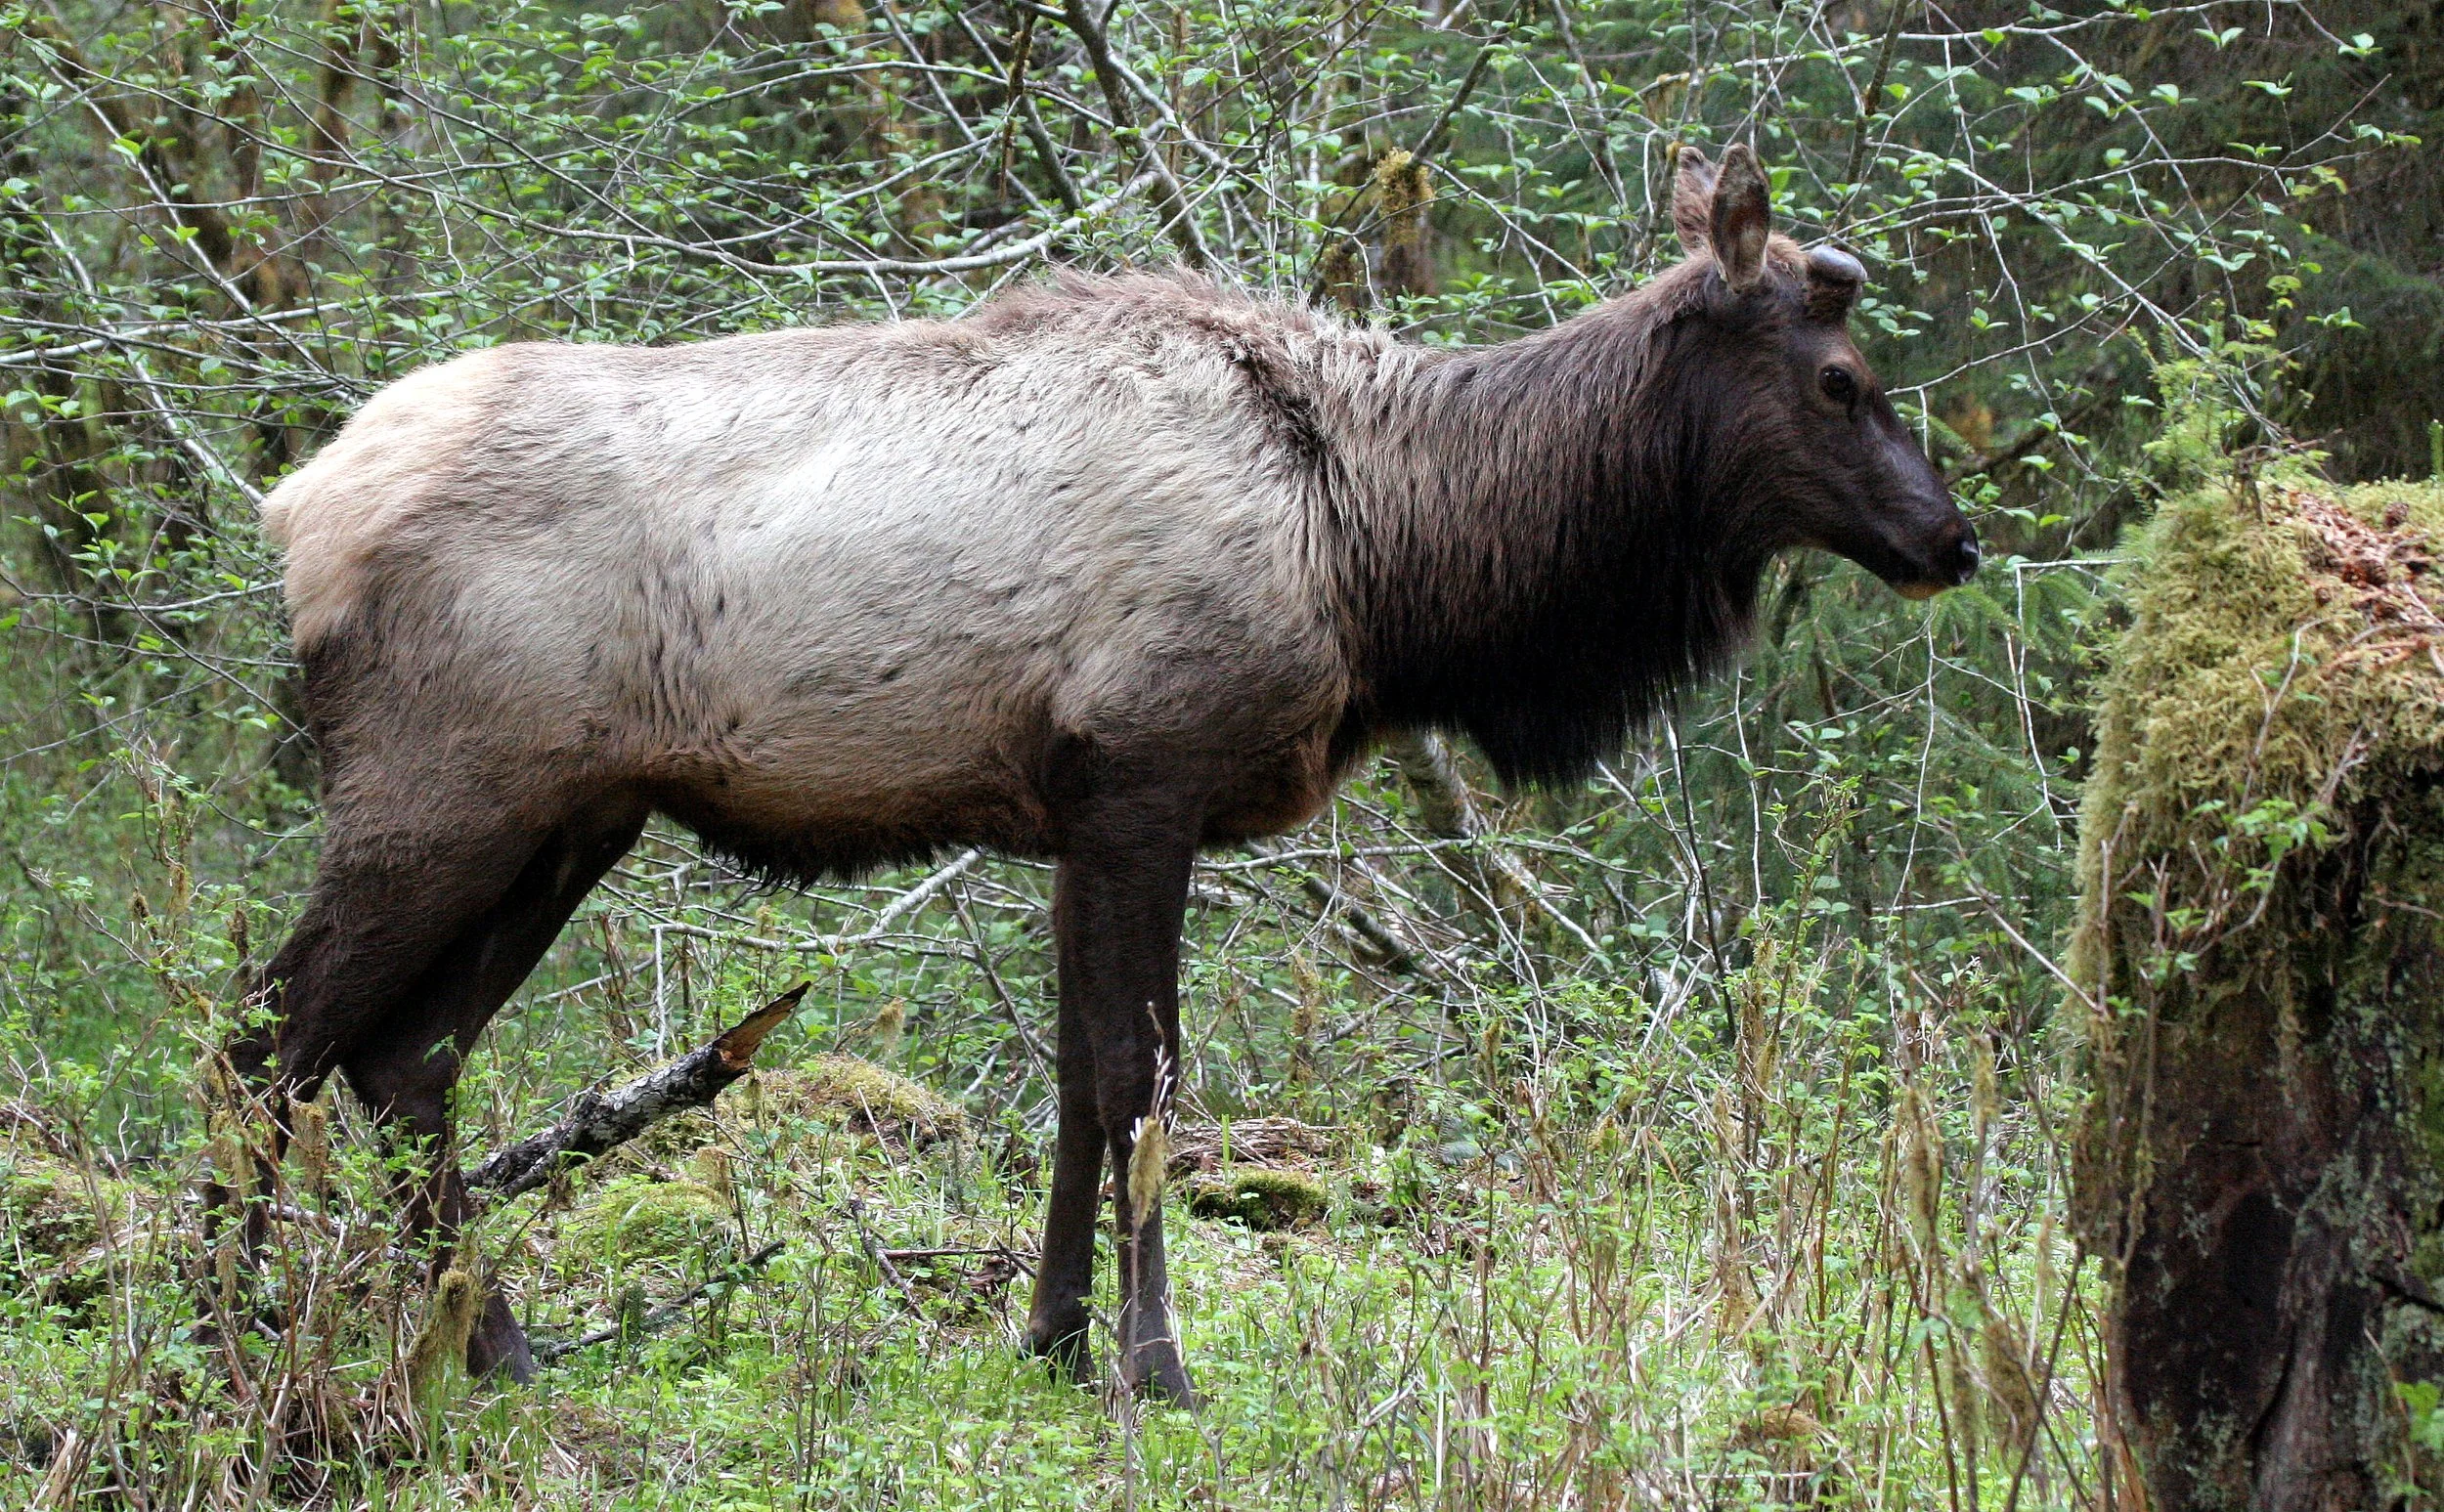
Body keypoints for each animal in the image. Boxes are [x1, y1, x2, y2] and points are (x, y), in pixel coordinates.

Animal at [236, 143, 1977, 1405]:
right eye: (1841, 380)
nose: (1950, 538)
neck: (1382, 555)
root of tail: (292, 508)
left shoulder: (1075, 809)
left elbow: (1076, 1078)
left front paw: (1056, 1338)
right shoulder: (1147, 771)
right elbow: (1147, 1078)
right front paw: (1157, 1363)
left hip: (566, 814)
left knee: (402, 1063)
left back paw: (498, 1348)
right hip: (441, 791)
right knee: (270, 1037)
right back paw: (223, 1320)